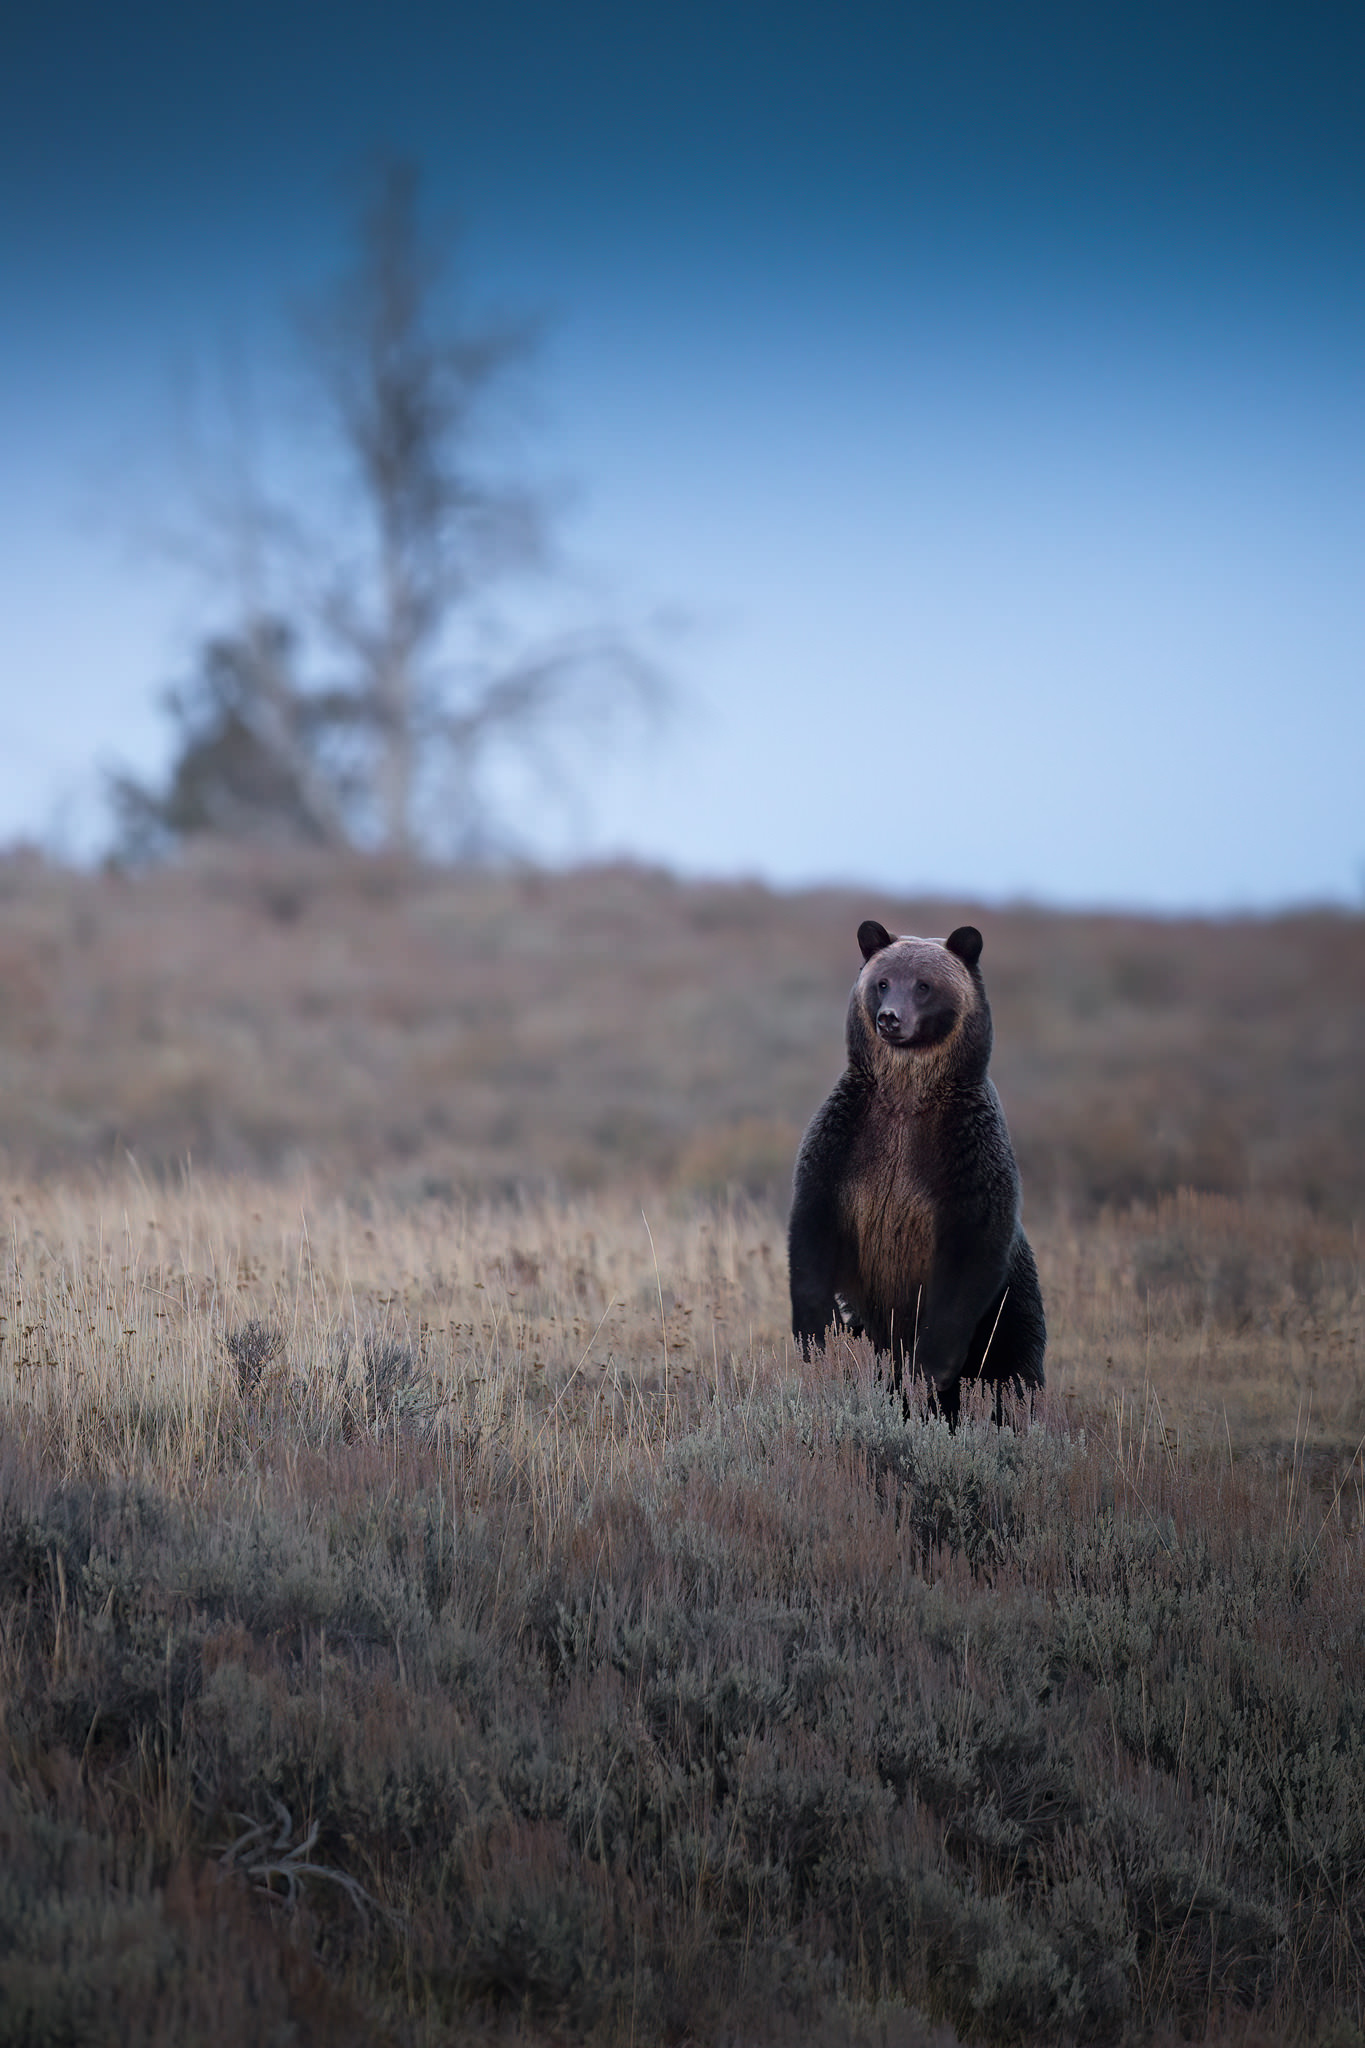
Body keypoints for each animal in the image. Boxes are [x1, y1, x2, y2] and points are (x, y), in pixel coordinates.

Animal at [788, 919, 1045, 1423]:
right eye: (883, 981)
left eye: (924, 985)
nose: (890, 1019)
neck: (906, 1097)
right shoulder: (843, 1142)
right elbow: (811, 1230)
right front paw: (815, 1336)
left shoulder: (966, 1155)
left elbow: (968, 1260)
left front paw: (931, 1368)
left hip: (1013, 1308)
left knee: (1015, 1374)